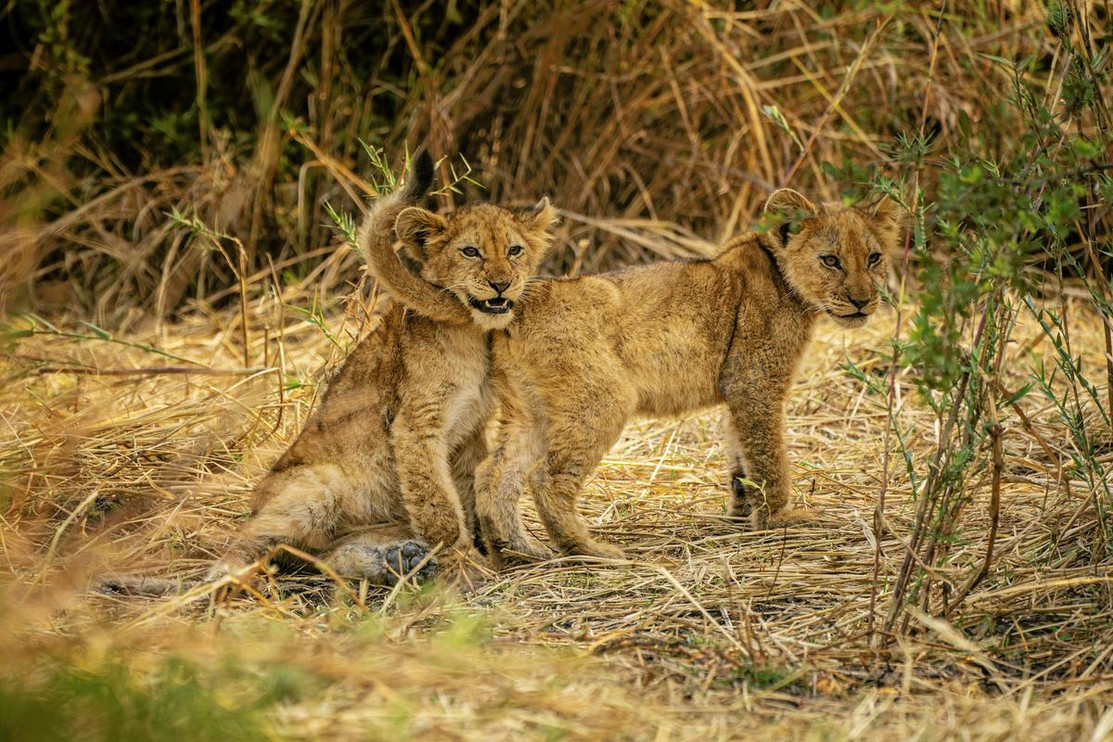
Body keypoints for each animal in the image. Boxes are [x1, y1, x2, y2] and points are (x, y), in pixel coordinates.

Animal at [362, 187, 903, 564]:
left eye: (874, 258)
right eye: (830, 260)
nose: (863, 301)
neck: (789, 285)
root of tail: (518, 299)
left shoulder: (740, 391)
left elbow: (740, 457)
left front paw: (739, 516)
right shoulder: (756, 382)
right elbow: (769, 457)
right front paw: (783, 521)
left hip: (532, 410)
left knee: (496, 474)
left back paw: (524, 552)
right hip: (603, 395)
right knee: (546, 479)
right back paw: (590, 551)